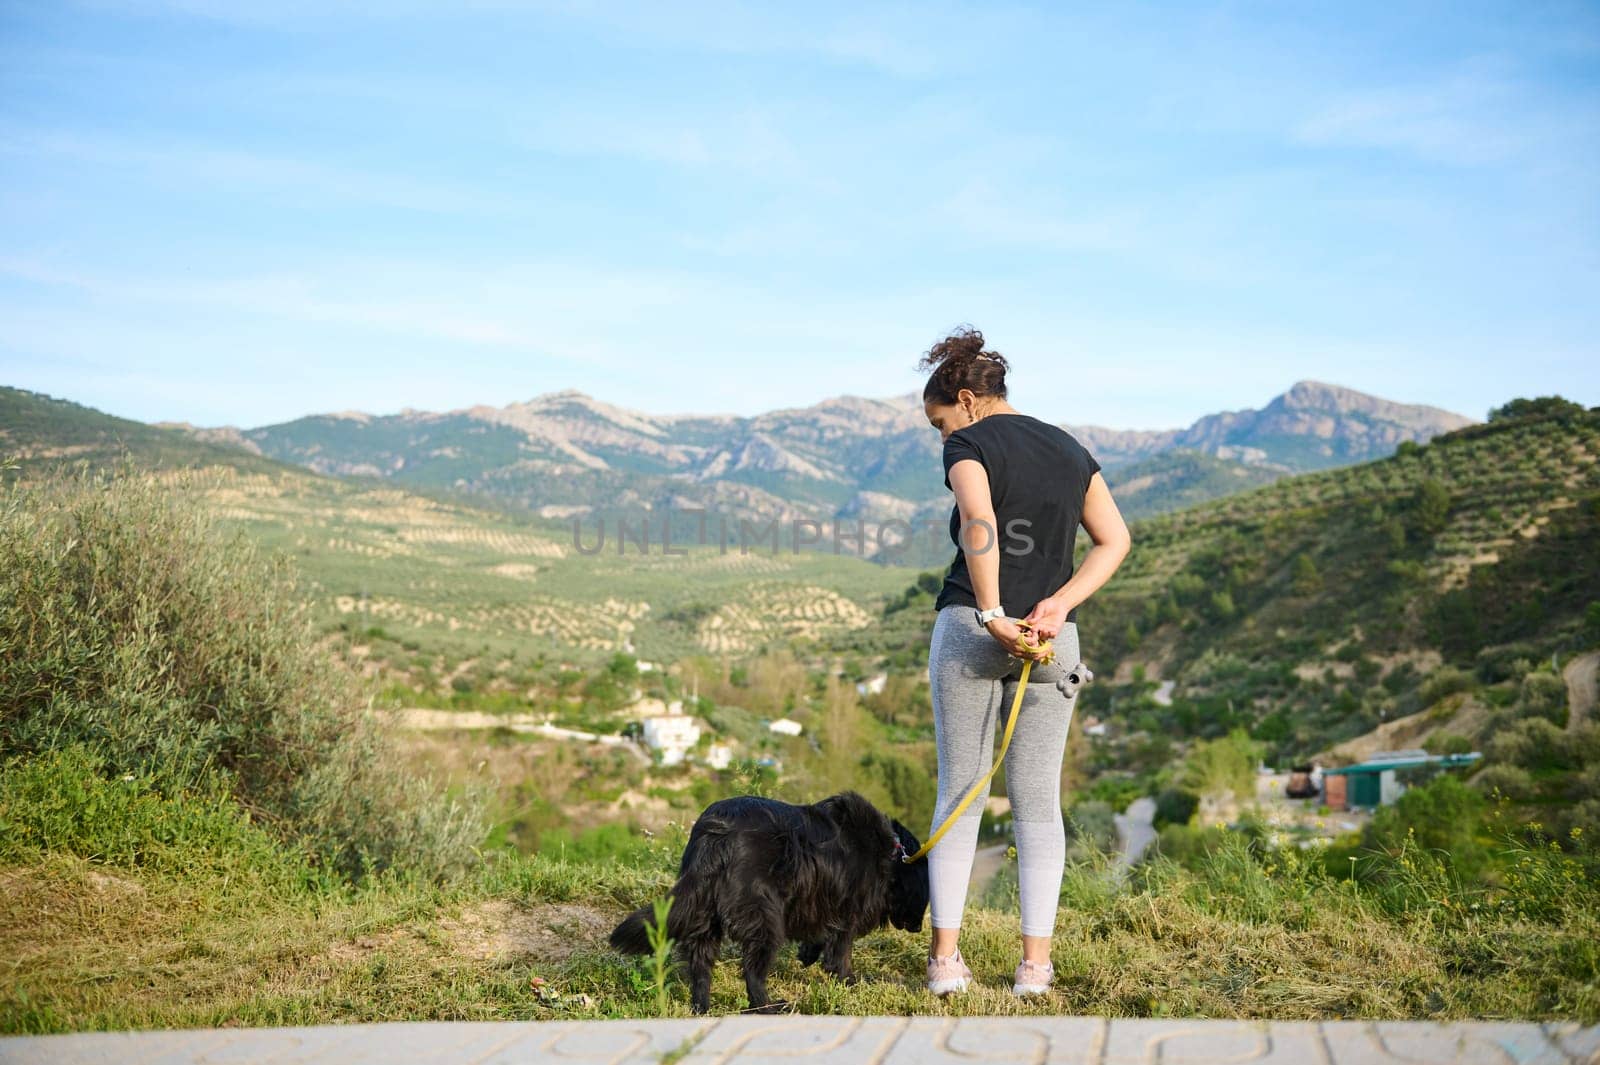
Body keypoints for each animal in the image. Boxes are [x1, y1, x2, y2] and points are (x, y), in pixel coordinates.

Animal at [611, 786, 934, 1010]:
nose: (919, 928)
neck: (892, 852)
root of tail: (717, 834)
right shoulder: (847, 910)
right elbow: (840, 953)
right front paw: (850, 982)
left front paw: (809, 954)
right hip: (764, 916)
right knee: (753, 971)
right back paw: (768, 1006)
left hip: (705, 914)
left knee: (700, 965)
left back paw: (701, 1008)